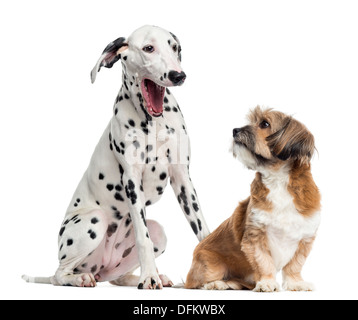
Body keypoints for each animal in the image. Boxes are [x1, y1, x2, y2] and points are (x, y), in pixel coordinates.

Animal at [22, 25, 210, 290]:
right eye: (148, 48)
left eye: (175, 47)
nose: (178, 75)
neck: (153, 123)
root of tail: (99, 267)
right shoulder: (131, 181)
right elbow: (142, 237)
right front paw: (149, 277)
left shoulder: (183, 178)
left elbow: (203, 229)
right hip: (94, 221)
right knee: (59, 274)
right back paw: (80, 278)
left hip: (158, 232)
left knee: (117, 277)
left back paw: (148, 277)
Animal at [185, 107, 322, 292]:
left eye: (264, 124)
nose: (235, 130)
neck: (278, 181)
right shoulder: (255, 235)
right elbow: (264, 262)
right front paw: (267, 283)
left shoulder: (304, 238)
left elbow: (294, 265)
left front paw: (296, 283)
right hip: (211, 265)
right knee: (197, 284)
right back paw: (217, 283)